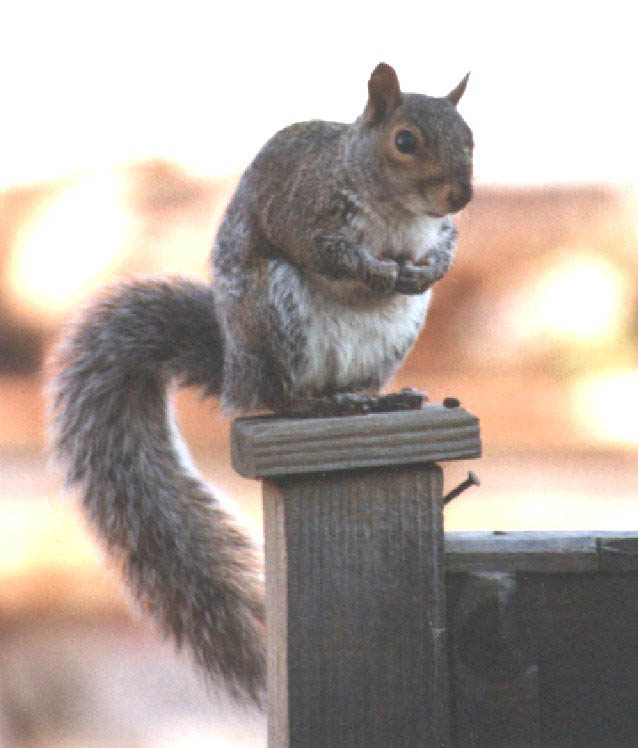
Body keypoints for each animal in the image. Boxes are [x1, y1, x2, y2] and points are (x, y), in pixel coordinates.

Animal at [50, 63, 473, 704]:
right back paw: (320, 405)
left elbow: (443, 248)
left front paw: (427, 270)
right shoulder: (303, 208)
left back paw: (376, 397)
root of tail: (235, 372)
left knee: (353, 381)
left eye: (469, 135)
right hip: (276, 309)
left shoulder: (437, 231)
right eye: (405, 141)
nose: (462, 196)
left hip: (393, 333)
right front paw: (376, 270)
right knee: (280, 398)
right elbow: (328, 251)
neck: (398, 210)